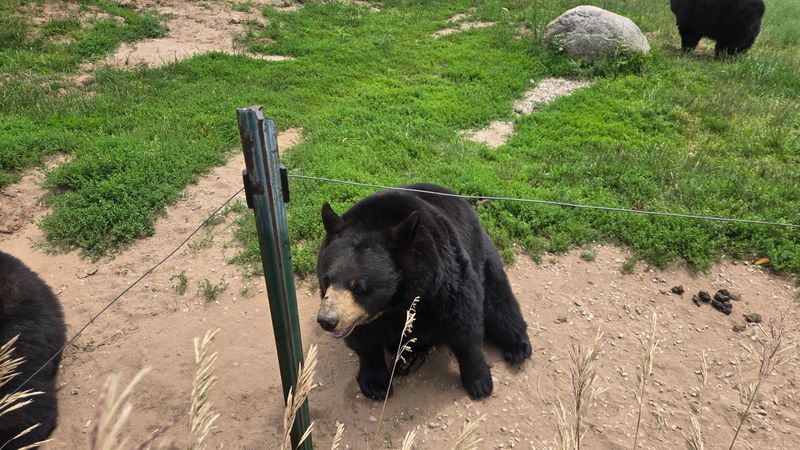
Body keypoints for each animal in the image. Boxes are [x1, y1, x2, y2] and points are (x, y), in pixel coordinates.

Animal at [315, 183, 532, 400]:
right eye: (326, 279)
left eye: (359, 286)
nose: (327, 320)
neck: (397, 303)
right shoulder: (366, 316)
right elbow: (364, 339)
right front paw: (376, 384)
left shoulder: (444, 281)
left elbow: (465, 325)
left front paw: (479, 382)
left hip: (483, 256)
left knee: (499, 302)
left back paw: (518, 347)